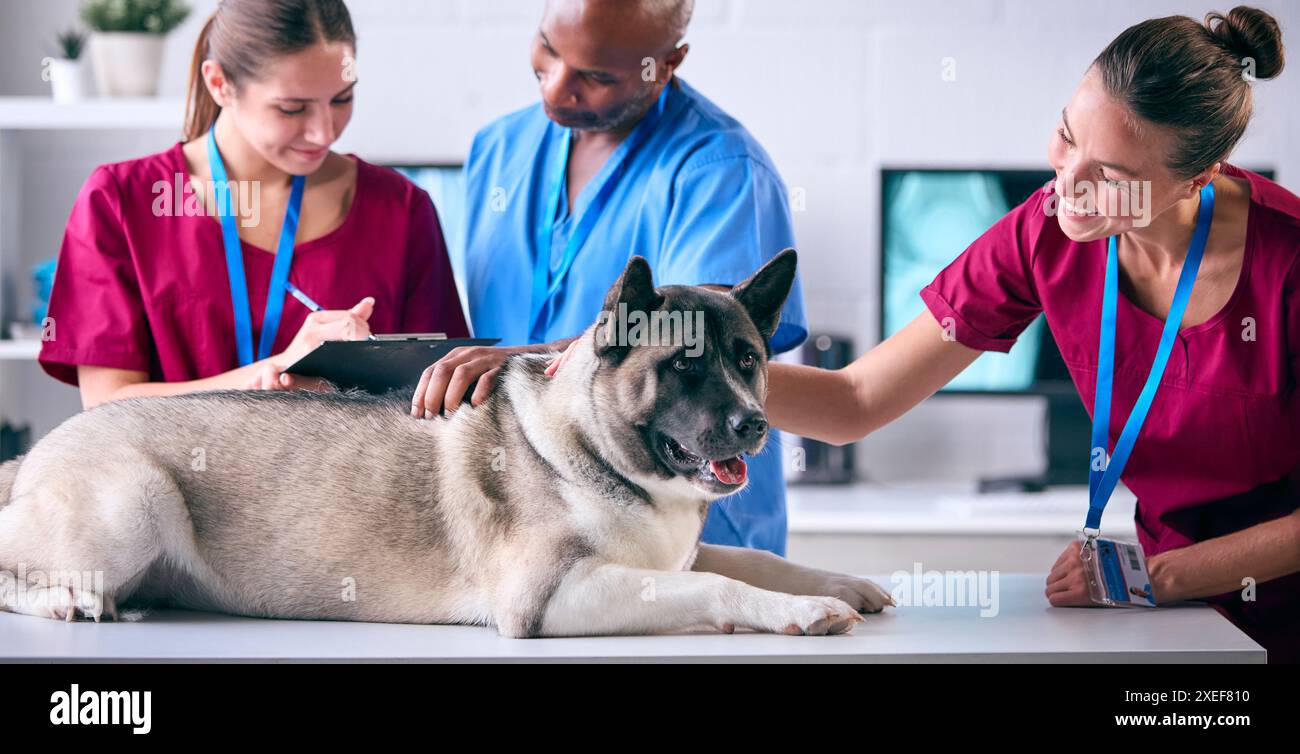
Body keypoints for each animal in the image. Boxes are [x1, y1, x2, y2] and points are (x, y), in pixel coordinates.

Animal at [0, 252, 894, 637]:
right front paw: (799, 612)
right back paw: (67, 600)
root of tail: (33, 457)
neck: (588, 444)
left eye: (747, 361)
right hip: (135, 502)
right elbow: (716, 585)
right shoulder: (553, 598)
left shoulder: (668, 552)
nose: (753, 424)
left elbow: (752, 559)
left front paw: (839, 582)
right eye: (682, 366)